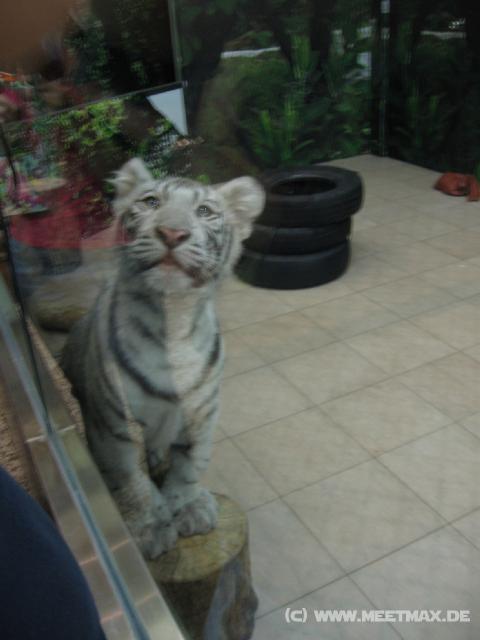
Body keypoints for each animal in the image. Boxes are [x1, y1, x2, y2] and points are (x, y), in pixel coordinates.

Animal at [61, 158, 265, 559]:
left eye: (204, 211)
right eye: (151, 202)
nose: (172, 233)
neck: (173, 320)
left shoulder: (202, 413)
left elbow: (190, 464)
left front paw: (189, 507)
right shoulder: (113, 420)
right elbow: (130, 476)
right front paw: (150, 526)